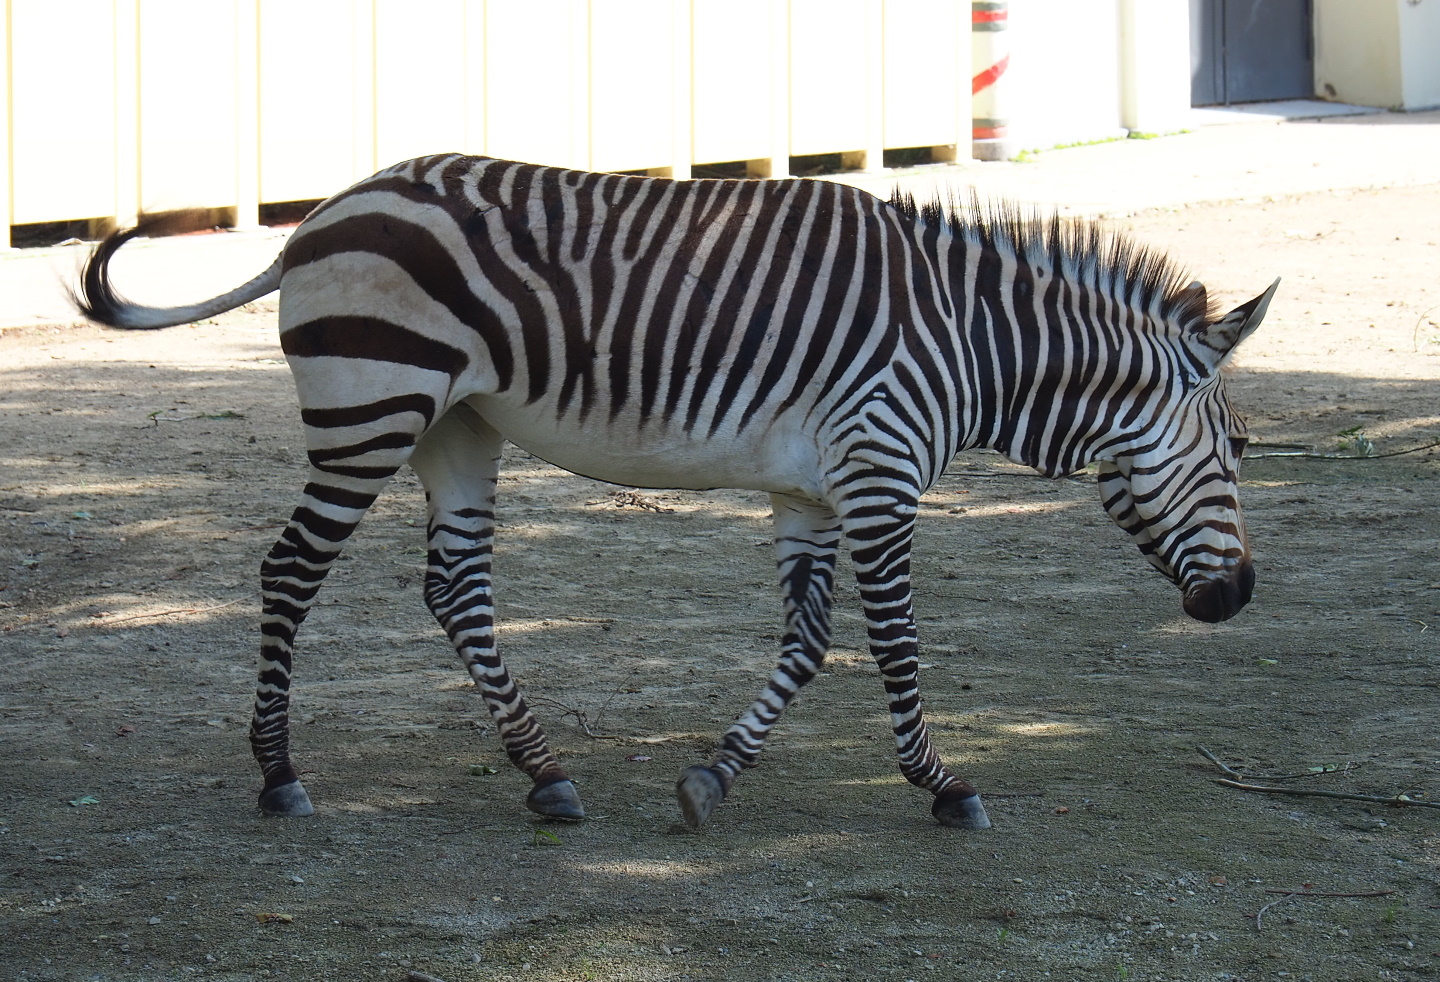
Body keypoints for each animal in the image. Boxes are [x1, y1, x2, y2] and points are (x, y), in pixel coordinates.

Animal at [73, 153, 1278, 831]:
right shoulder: (880, 474)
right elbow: (894, 643)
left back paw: (546, 774)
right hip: (372, 410)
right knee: (289, 571)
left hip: (457, 429)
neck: (972, 345)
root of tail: (321, 214)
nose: (1241, 600)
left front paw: (713, 778)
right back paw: (280, 774)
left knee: (455, 589)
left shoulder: (814, 491)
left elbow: (807, 643)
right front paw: (944, 787)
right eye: (1236, 448)